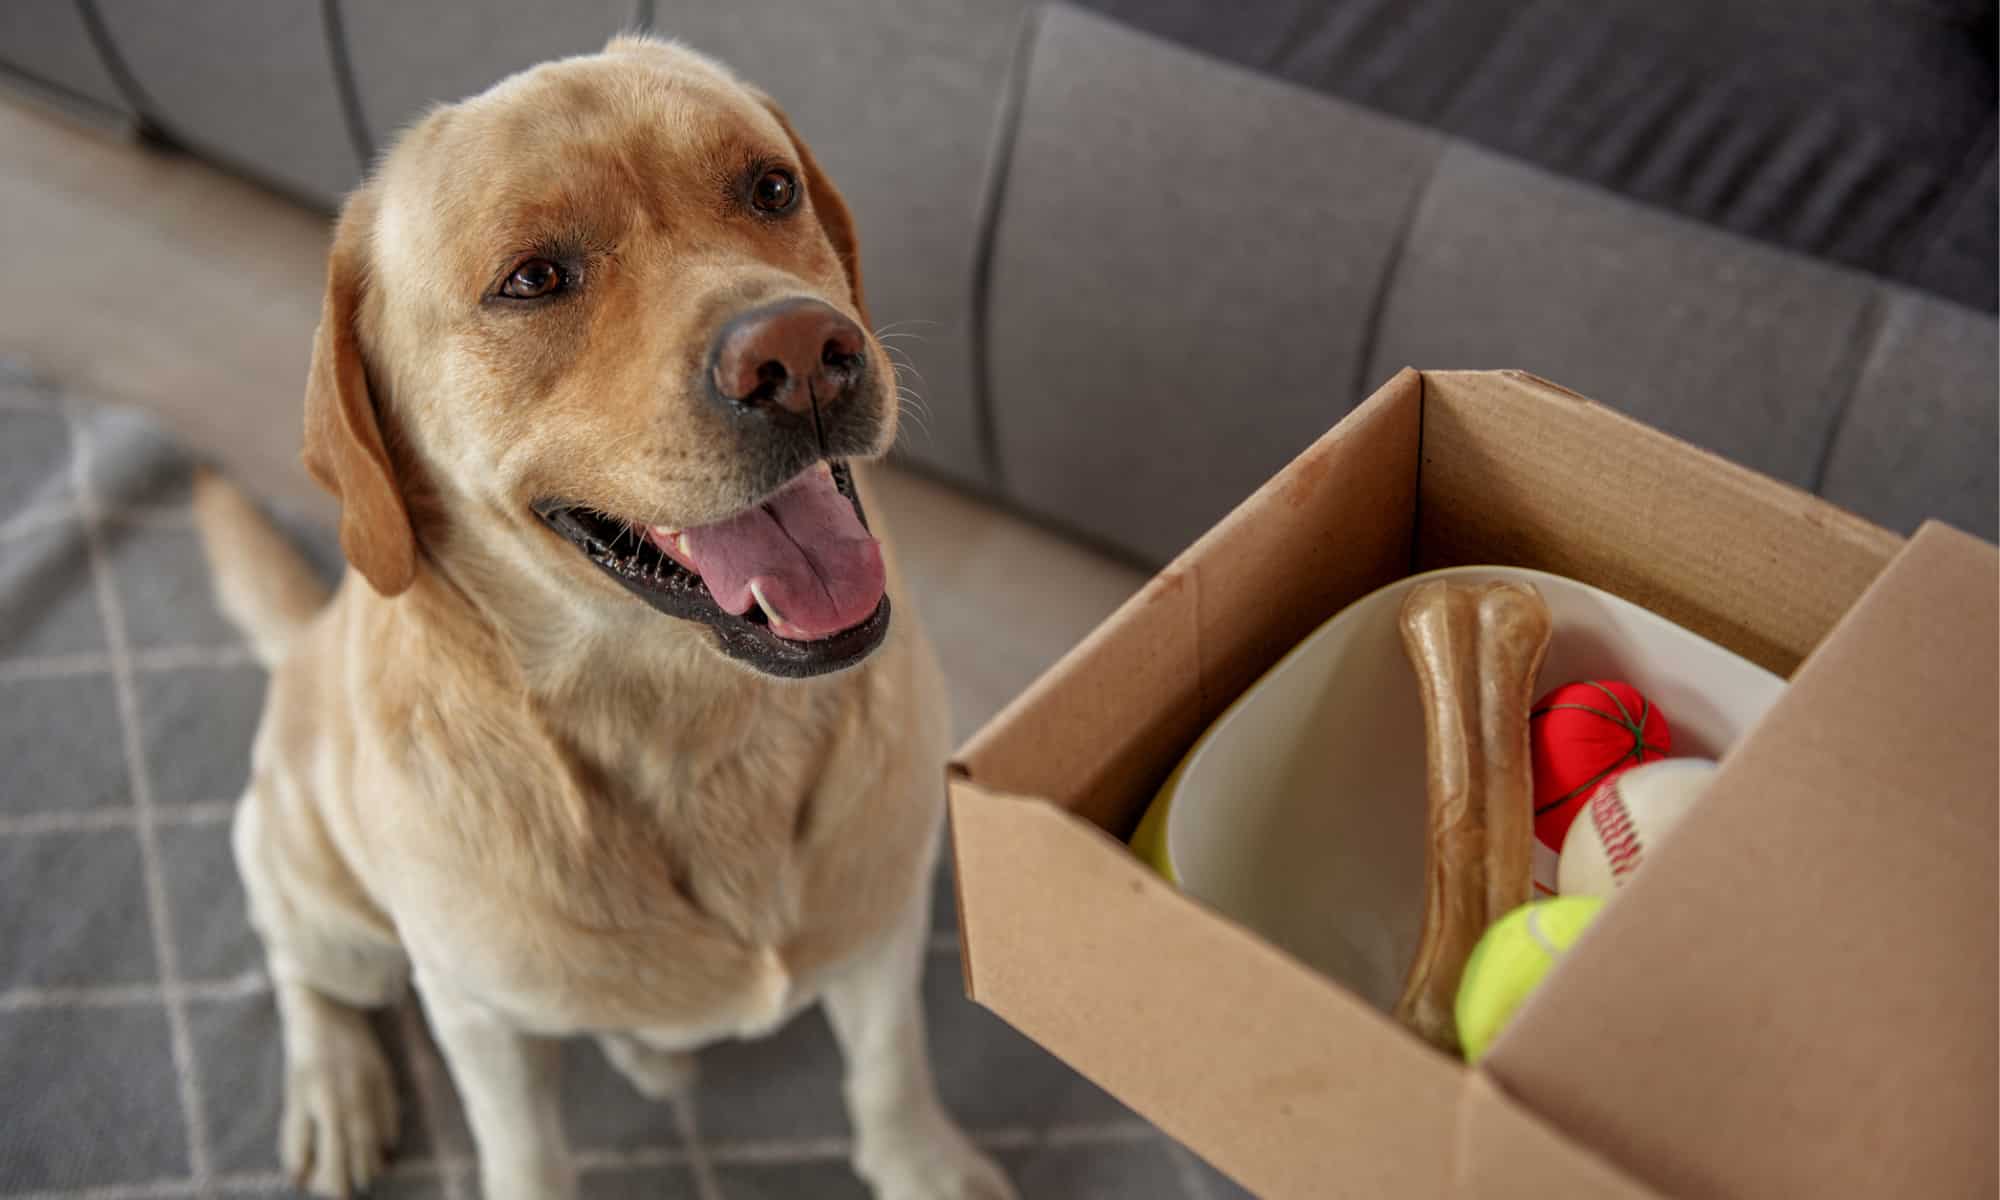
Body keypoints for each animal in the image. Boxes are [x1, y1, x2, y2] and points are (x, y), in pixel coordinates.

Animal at [193, 37, 1016, 1200]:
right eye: (534, 278)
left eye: (771, 188)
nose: (803, 353)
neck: (689, 719)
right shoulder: (477, 1020)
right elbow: (525, 1153)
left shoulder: (883, 919)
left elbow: (891, 1069)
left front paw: (922, 1165)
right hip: (319, 890)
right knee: (297, 962)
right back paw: (335, 1086)